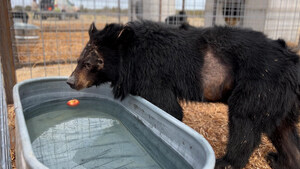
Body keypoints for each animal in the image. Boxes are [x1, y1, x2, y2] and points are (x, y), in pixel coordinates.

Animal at [67, 20, 300, 168]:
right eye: (78, 60)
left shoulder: (153, 74)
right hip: (280, 99)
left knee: (244, 122)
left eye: (91, 63)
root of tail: (291, 61)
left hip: (260, 84)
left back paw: (227, 162)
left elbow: (168, 107)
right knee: (283, 132)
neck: (131, 55)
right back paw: (280, 160)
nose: (70, 82)